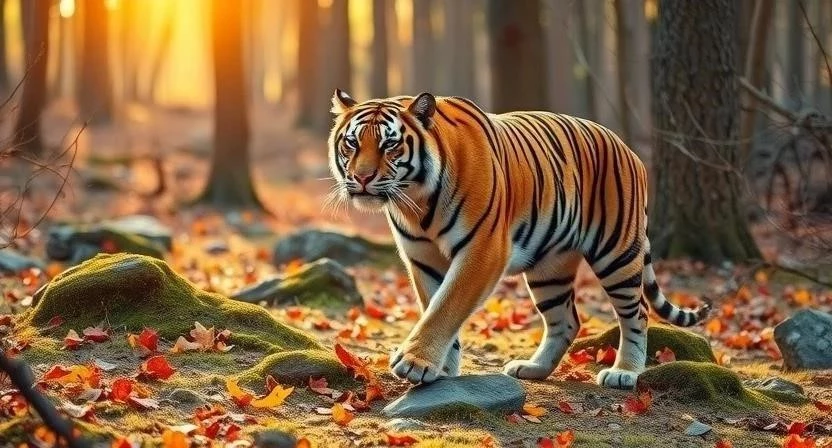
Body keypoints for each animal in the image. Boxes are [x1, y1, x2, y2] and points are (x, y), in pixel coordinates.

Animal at [326, 89, 710, 389]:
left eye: (389, 145)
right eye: (352, 143)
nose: (362, 178)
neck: (416, 201)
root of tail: (629, 149)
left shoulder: (483, 251)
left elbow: (445, 306)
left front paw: (416, 363)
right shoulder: (422, 258)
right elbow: (433, 305)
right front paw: (442, 370)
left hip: (616, 251)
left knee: (638, 310)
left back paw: (624, 373)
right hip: (549, 267)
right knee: (567, 320)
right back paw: (534, 368)